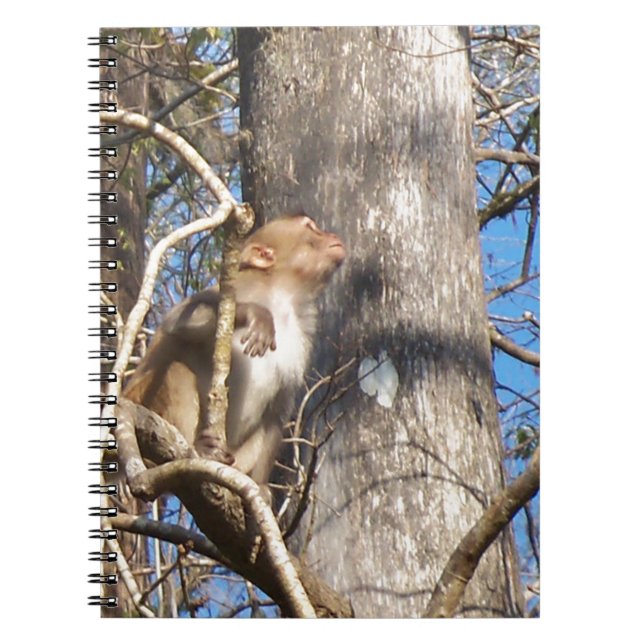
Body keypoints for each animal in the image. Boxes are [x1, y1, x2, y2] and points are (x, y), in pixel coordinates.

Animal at [123, 214, 345, 498]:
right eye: (310, 228)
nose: (332, 236)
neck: (282, 296)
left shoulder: (304, 333)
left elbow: (278, 409)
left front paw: (261, 486)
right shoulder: (240, 286)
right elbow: (179, 319)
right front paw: (254, 314)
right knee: (176, 370)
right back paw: (198, 450)